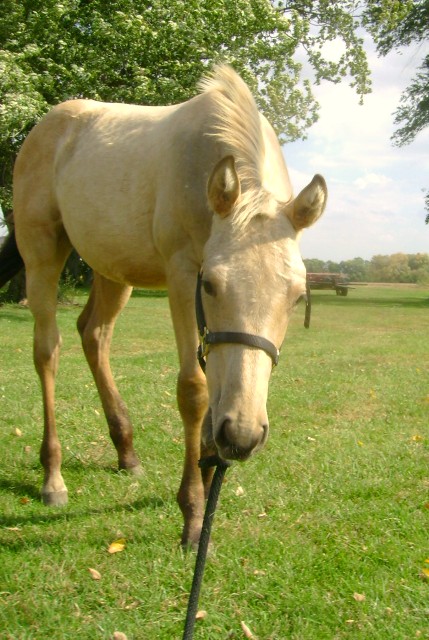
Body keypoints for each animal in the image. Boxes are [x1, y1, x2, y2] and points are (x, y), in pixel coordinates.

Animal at [0, 63, 326, 544]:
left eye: (297, 296)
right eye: (210, 284)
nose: (244, 435)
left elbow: (214, 391)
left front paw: (209, 476)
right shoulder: (181, 275)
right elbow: (194, 390)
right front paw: (192, 510)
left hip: (113, 270)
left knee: (93, 335)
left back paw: (127, 453)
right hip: (42, 252)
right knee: (48, 351)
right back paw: (52, 478)